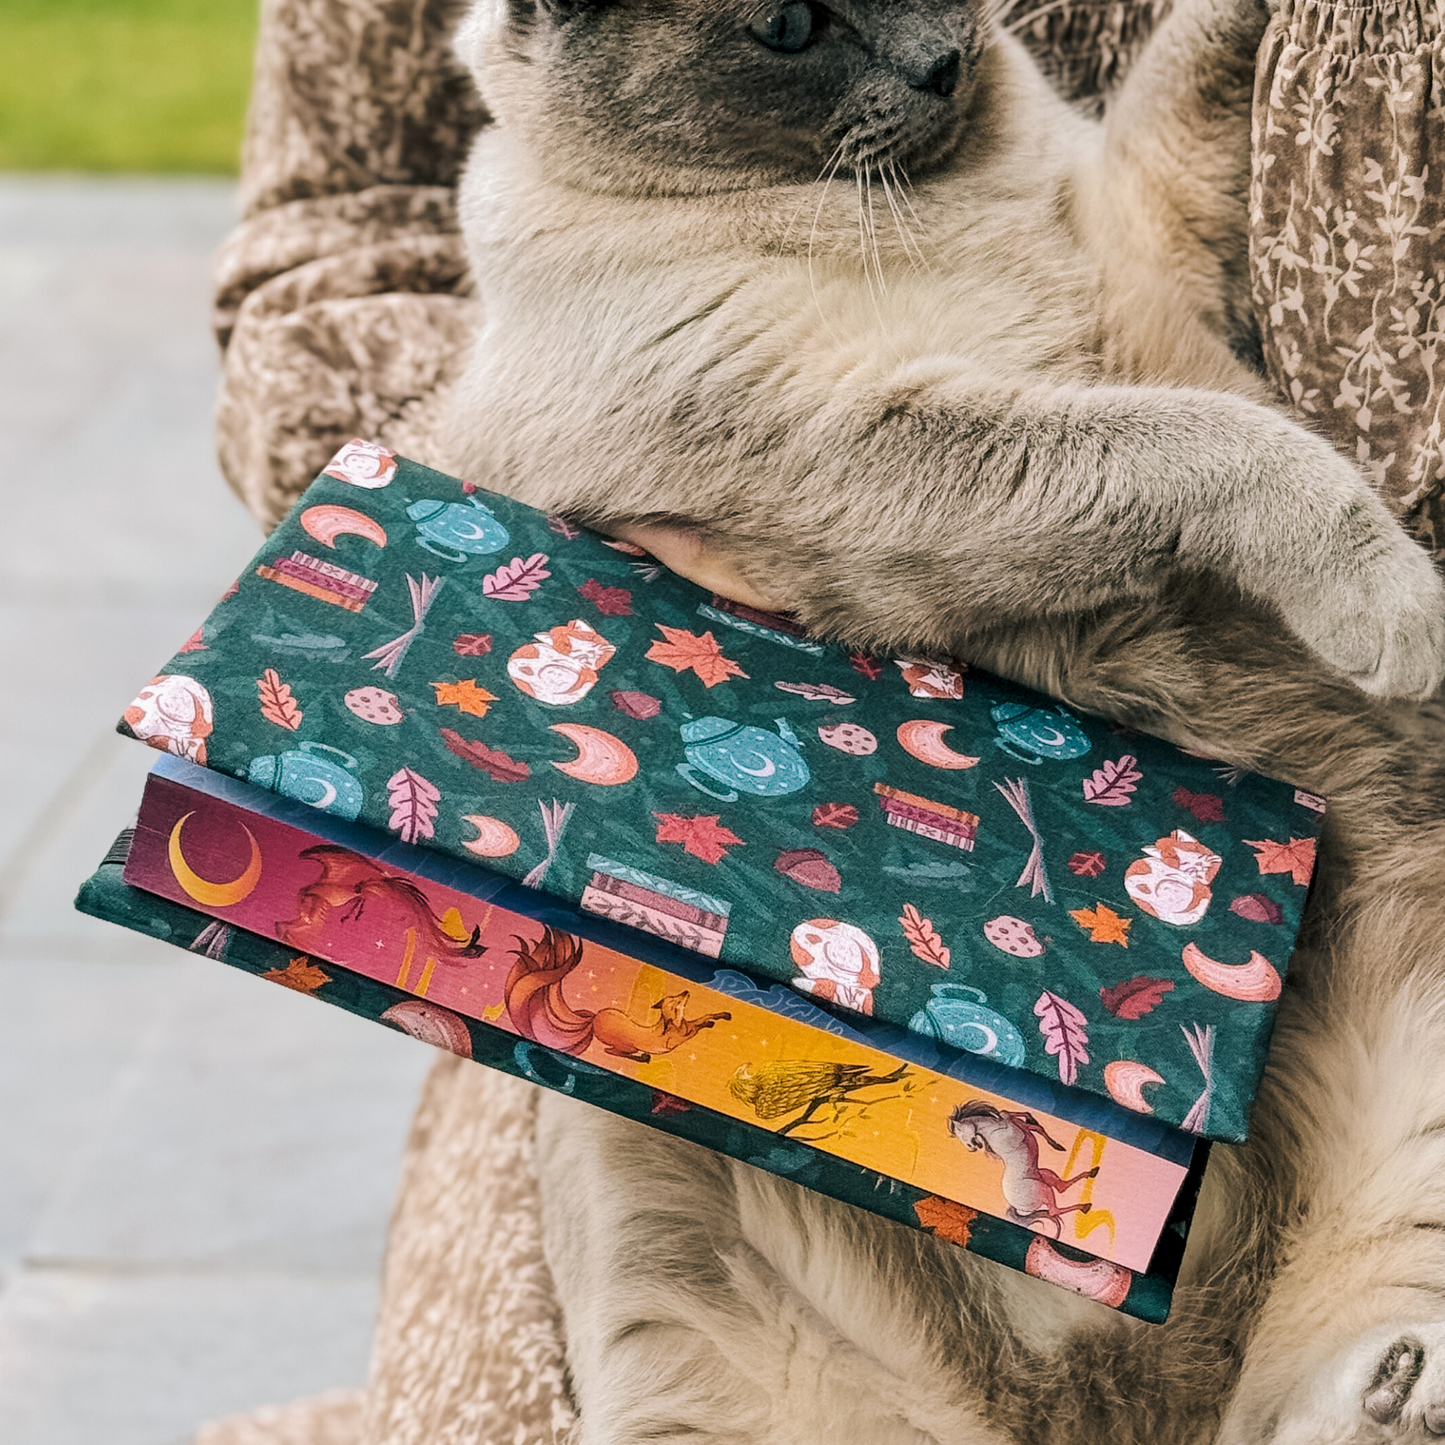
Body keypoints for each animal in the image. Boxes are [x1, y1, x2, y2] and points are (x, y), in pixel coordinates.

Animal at [436, 2, 1445, 1445]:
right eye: (789, 28)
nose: (942, 65)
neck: (960, 200)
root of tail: (1107, 1405)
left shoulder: (1135, 239)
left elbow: (1184, 71)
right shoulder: (890, 449)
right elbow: (1214, 446)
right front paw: (1403, 612)